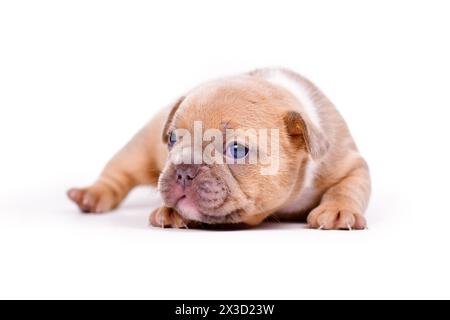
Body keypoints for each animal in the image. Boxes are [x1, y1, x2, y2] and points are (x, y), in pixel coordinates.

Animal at [67, 68, 370, 230]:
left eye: (236, 150)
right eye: (173, 139)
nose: (183, 170)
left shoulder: (349, 162)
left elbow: (348, 186)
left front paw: (338, 210)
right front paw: (171, 212)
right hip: (139, 148)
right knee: (117, 171)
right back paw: (90, 195)